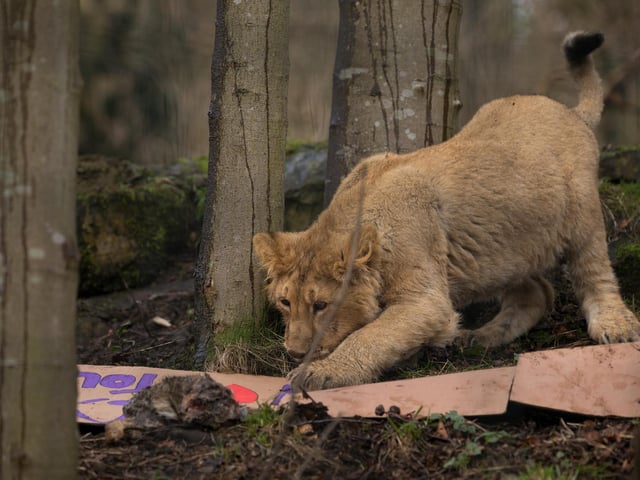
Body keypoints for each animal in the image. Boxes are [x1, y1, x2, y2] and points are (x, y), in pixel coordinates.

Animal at [253, 31, 640, 390]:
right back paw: (480, 337)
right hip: (503, 251)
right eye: (285, 302)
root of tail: (570, 113)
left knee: (595, 271)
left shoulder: (426, 301)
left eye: (321, 305)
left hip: (581, 215)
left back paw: (615, 324)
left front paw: (320, 371)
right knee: (537, 293)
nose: (295, 352)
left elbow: (369, 336)